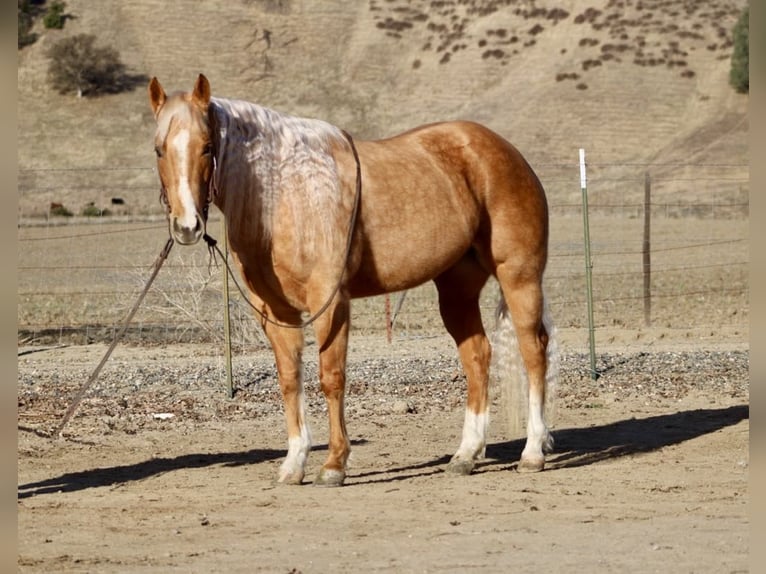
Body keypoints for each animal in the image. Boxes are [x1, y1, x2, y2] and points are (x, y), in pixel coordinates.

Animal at [148, 74, 557, 486]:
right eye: (158, 149)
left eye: (207, 147)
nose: (187, 226)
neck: (287, 192)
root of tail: (504, 151)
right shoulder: (276, 313)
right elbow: (290, 380)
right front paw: (294, 464)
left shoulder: (330, 302)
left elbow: (331, 377)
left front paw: (333, 465)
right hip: (457, 291)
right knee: (477, 357)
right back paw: (466, 455)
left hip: (519, 278)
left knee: (533, 352)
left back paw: (533, 452)